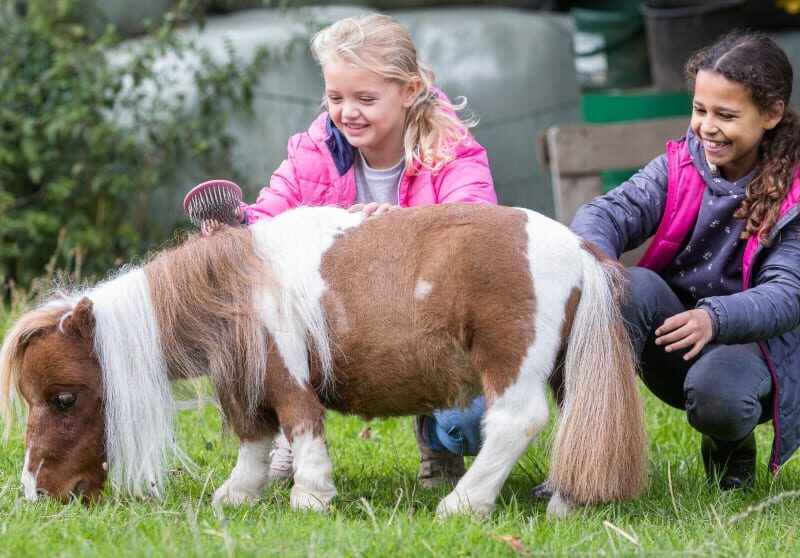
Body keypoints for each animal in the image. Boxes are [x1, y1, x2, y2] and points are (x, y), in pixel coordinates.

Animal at [0, 203, 648, 520]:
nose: (36, 493)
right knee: (578, 423)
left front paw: (310, 496)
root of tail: (579, 248)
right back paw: (567, 501)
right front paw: (239, 494)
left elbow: (300, 424)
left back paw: (463, 504)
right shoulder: (247, 381)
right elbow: (255, 438)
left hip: (510, 363)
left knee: (517, 422)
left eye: (63, 398)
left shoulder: (284, 373)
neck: (235, 287)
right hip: (565, 369)